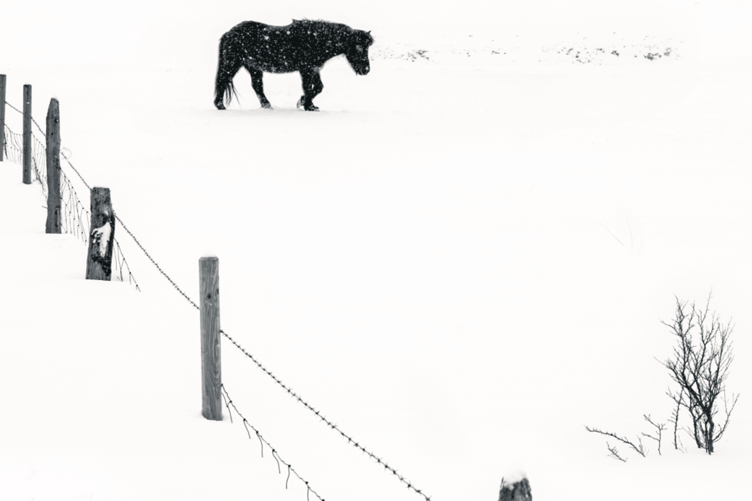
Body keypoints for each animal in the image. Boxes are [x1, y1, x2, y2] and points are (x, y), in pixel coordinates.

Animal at [214, 19, 374, 111]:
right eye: (358, 47)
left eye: (367, 47)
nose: (366, 70)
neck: (316, 39)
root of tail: (228, 33)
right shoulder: (306, 69)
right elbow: (308, 87)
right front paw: (306, 105)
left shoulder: (313, 69)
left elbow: (318, 87)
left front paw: (306, 103)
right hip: (232, 64)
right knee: (223, 80)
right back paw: (220, 106)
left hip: (254, 68)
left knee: (257, 86)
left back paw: (267, 106)